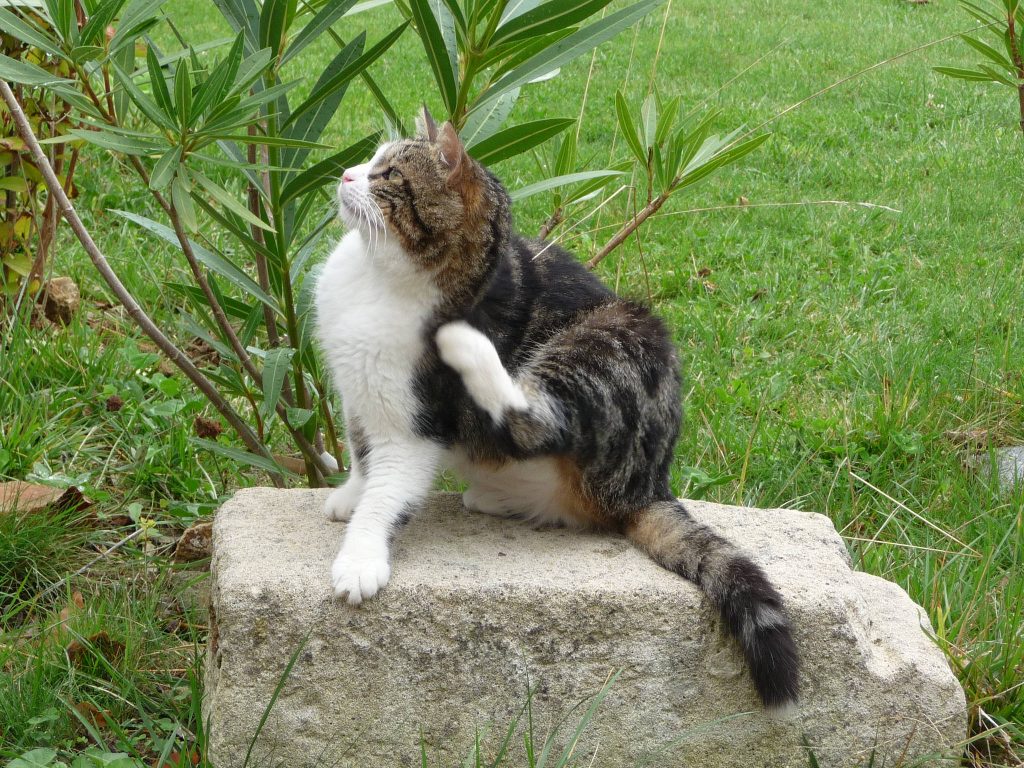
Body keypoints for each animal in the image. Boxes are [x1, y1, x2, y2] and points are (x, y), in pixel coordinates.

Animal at [311, 109, 798, 708]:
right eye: (371, 160)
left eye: (387, 175)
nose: (346, 173)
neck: (376, 278)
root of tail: (647, 485)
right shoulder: (356, 394)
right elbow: (361, 452)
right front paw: (349, 494)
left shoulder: (417, 425)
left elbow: (387, 493)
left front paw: (360, 557)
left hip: (609, 341)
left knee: (537, 421)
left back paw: (466, 346)